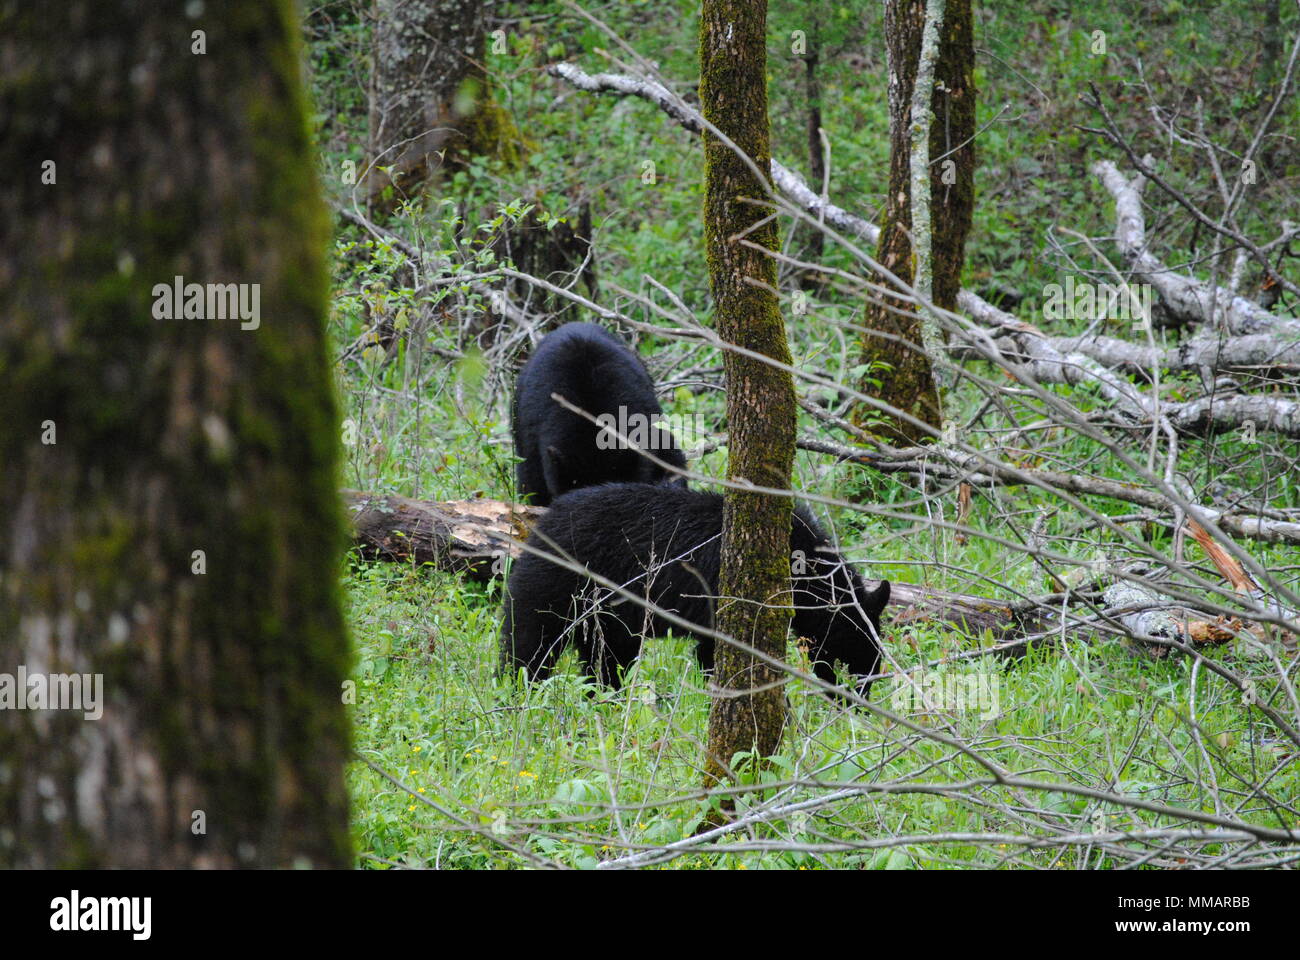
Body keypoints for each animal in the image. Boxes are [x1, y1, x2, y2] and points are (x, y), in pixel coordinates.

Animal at [493, 481, 883, 692]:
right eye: (857, 656)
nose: (858, 702)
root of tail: (538, 526)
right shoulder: (722, 594)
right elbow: (715, 652)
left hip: (604, 615)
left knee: (605, 659)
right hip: (555, 586)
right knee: (530, 644)